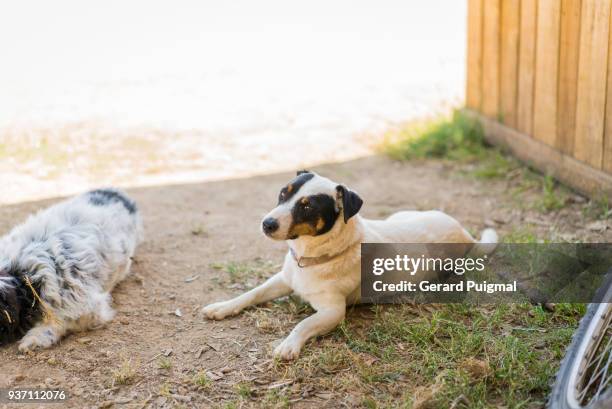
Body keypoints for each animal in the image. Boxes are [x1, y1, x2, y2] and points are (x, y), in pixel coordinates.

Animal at [206, 171, 498, 358]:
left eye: (307, 207)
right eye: (282, 193)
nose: (267, 224)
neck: (312, 256)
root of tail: (465, 235)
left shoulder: (333, 311)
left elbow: (303, 324)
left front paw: (289, 345)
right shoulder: (284, 279)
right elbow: (252, 293)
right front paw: (223, 307)